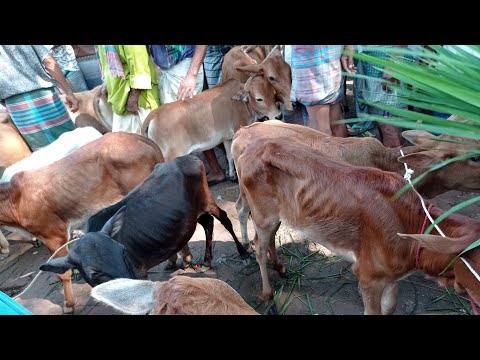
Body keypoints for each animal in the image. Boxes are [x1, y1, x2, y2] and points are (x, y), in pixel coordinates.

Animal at [40, 156, 251, 286]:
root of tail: (187, 158)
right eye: (94, 273)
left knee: (224, 218)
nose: (128, 279)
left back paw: (243, 254)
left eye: (122, 251)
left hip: (207, 201)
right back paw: (207, 260)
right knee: (208, 223)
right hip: (194, 212)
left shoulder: (140, 272)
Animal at [236, 139, 480, 314]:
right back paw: (268, 294)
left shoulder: (391, 278)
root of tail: (250, 148)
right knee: (259, 247)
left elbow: (390, 307)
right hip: (263, 216)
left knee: (270, 239)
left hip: (278, 216)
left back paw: (280, 267)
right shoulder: (368, 277)